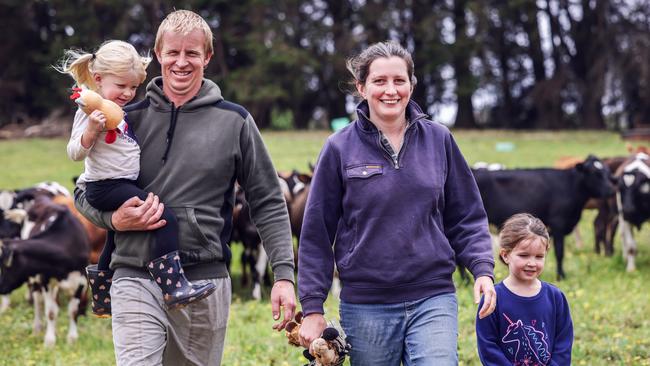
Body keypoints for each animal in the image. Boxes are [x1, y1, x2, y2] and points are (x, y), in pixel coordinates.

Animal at [0, 194, 90, 346]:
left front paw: (72, 339)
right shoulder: (46, 279)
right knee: (38, 302)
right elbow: (51, 312)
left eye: (5, 265)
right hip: (36, 280)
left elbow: (73, 311)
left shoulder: (81, 281)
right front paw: (49, 341)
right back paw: (37, 328)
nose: (0, 289)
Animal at [468, 154, 616, 278]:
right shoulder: (558, 225)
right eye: (595, 174)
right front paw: (561, 276)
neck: (570, 185)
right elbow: (560, 253)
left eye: (607, 173)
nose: (610, 190)